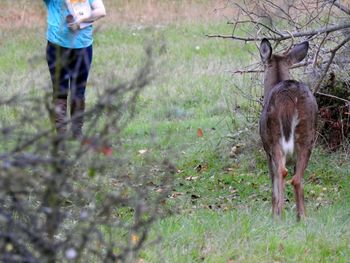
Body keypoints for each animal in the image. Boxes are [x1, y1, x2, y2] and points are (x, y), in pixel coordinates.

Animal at [258, 38, 318, 222]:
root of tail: (289, 97)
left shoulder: (267, 151)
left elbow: (273, 185)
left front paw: (273, 213)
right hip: (307, 138)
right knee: (297, 179)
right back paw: (302, 217)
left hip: (274, 138)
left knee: (282, 172)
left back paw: (280, 215)